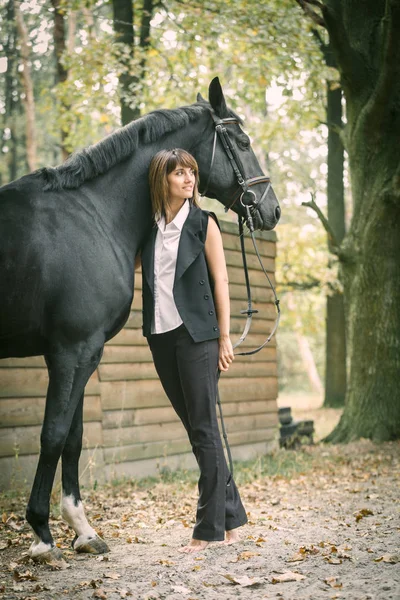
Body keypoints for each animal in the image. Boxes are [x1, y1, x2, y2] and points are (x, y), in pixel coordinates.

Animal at [0, 78, 280, 564]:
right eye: (243, 142)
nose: (272, 209)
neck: (91, 215)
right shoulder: (73, 351)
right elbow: (53, 435)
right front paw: (42, 535)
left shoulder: (79, 353)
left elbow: (73, 437)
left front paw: (83, 531)